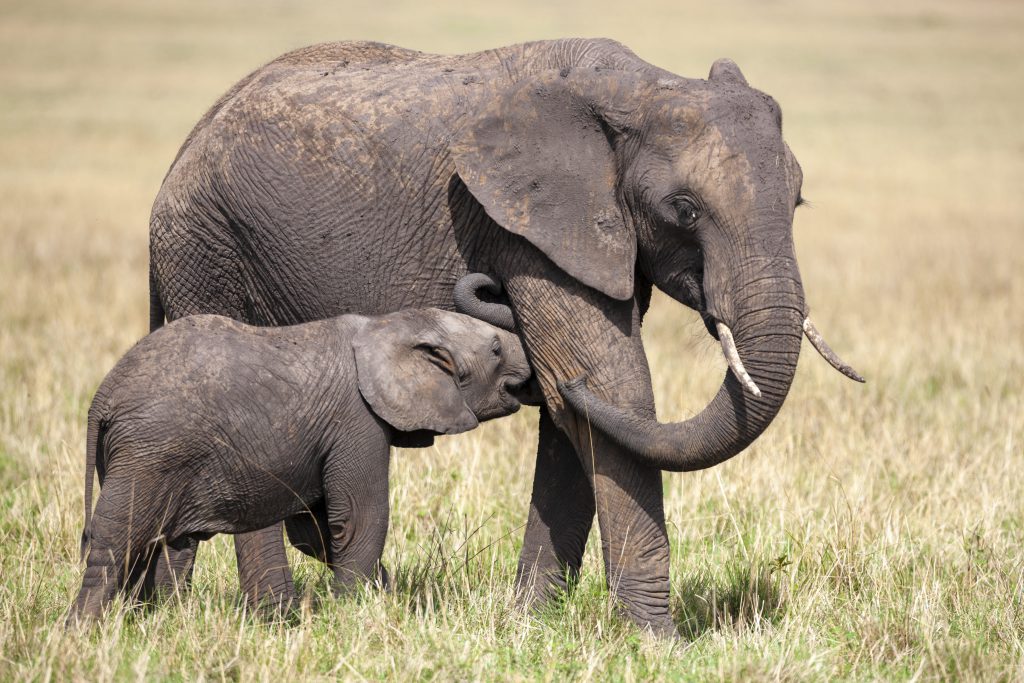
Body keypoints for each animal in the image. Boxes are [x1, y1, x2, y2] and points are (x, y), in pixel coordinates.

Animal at [68, 309, 532, 626]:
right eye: (495, 350)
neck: (389, 325)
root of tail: (102, 396)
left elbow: (316, 529)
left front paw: (384, 595)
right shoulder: (357, 419)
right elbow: (357, 518)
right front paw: (353, 612)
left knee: (161, 543)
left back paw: (151, 619)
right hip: (150, 449)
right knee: (118, 539)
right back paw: (83, 631)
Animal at [148, 37, 860, 634]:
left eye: (798, 202)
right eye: (683, 210)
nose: (483, 289)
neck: (637, 88)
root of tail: (187, 143)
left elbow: (574, 417)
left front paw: (531, 626)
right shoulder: (526, 227)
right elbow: (611, 388)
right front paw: (657, 644)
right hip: (205, 247)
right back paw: (272, 618)